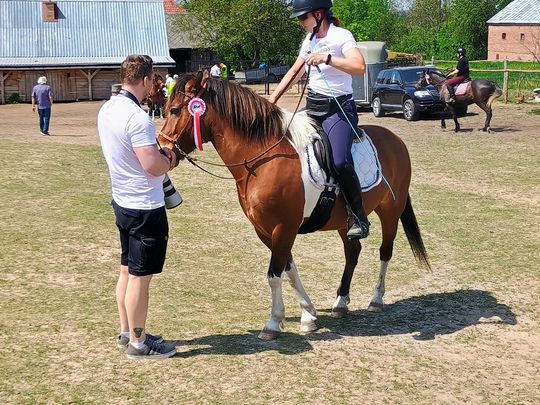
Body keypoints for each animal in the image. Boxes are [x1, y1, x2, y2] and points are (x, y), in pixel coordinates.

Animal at [158, 71, 431, 341]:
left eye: (174, 110)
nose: (163, 150)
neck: (262, 159)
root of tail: (396, 140)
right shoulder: (265, 230)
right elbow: (289, 270)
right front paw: (308, 314)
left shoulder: (284, 227)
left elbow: (274, 275)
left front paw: (272, 323)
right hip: (346, 221)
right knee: (352, 253)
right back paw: (341, 302)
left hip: (390, 212)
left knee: (385, 252)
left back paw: (376, 299)